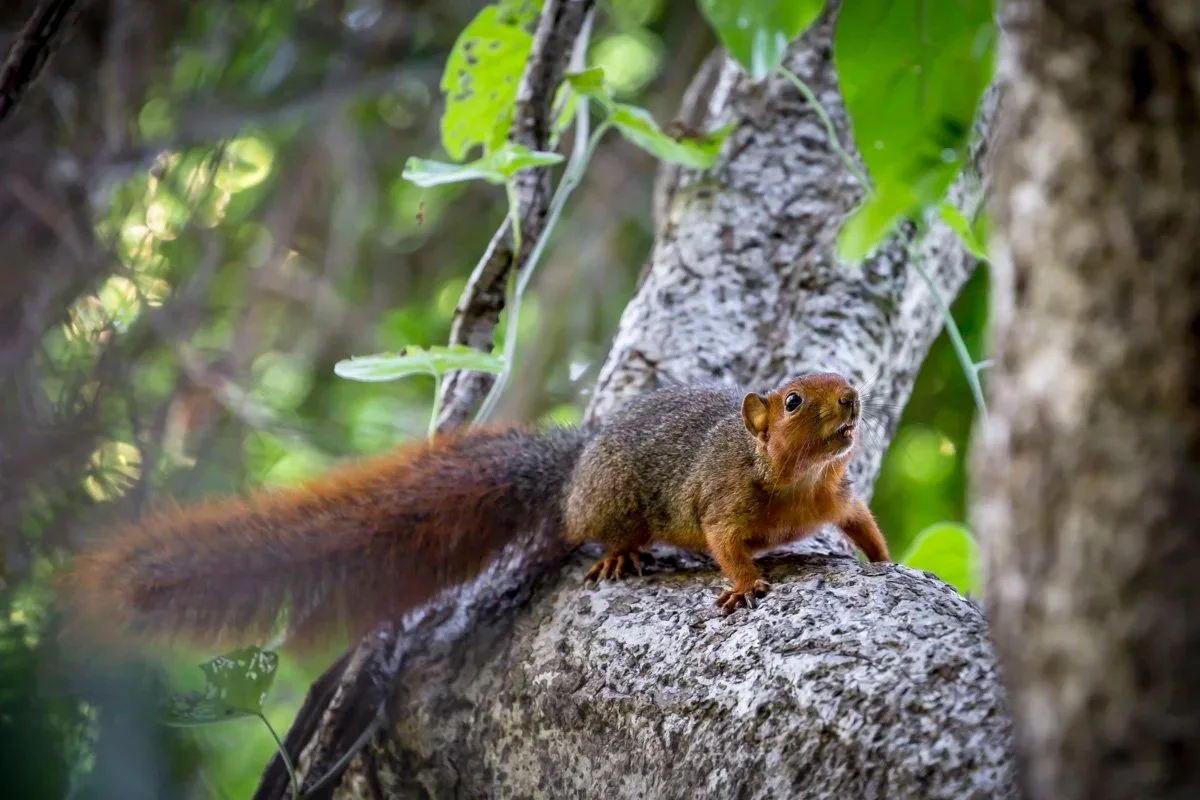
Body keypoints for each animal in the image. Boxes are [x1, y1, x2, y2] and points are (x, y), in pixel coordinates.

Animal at [60, 372, 890, 653]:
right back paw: (619, 553)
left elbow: (861, 523)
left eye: (835, 378)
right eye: (794, 399)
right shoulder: (722, 500)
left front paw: (884, 560)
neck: (796, 482)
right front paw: (745, 584)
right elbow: (726, 541)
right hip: (610, 499)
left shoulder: (839, 496)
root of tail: (575, 464)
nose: (853, 395)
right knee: (597, 530)